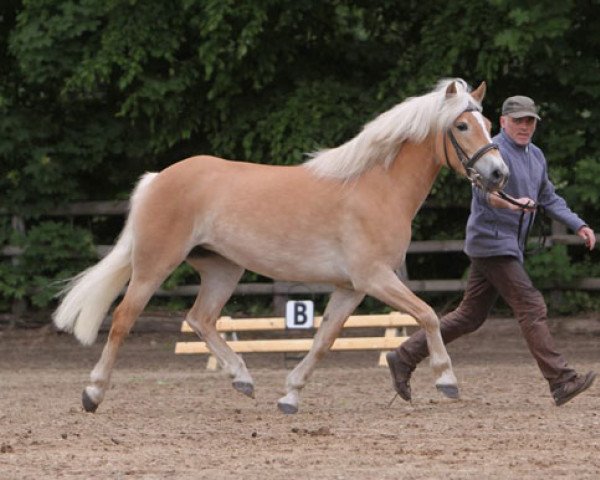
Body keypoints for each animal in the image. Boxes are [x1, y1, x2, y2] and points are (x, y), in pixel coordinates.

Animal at [54, 78, 508, 412]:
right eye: (463, 126)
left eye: (490, 125)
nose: (498, 173)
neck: (376, 187)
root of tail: (158, 178)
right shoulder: (375, 278)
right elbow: (429, 314)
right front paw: (447, 380)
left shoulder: (351, 288)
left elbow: (324, 339)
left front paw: (290, 394)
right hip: (155, 264)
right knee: (123, 318)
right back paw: (93, 393)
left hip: (222, 269)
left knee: (200, 318)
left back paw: (242, 379)